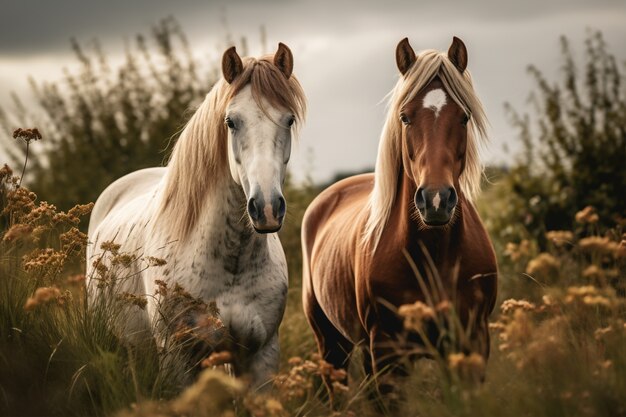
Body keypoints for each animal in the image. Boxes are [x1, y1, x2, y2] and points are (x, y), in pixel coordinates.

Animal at [85, 43, 304, 386]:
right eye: (231, 121)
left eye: (289, 119)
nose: (266, 208)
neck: (231, 264)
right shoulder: (176, 359)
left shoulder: (261, 355)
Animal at [302, 36, 498, 394]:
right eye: (405, 118)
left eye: (464, 117)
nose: (436, 199)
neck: (435, 257)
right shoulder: (387, 354)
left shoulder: (473, 344)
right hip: (332, 344)